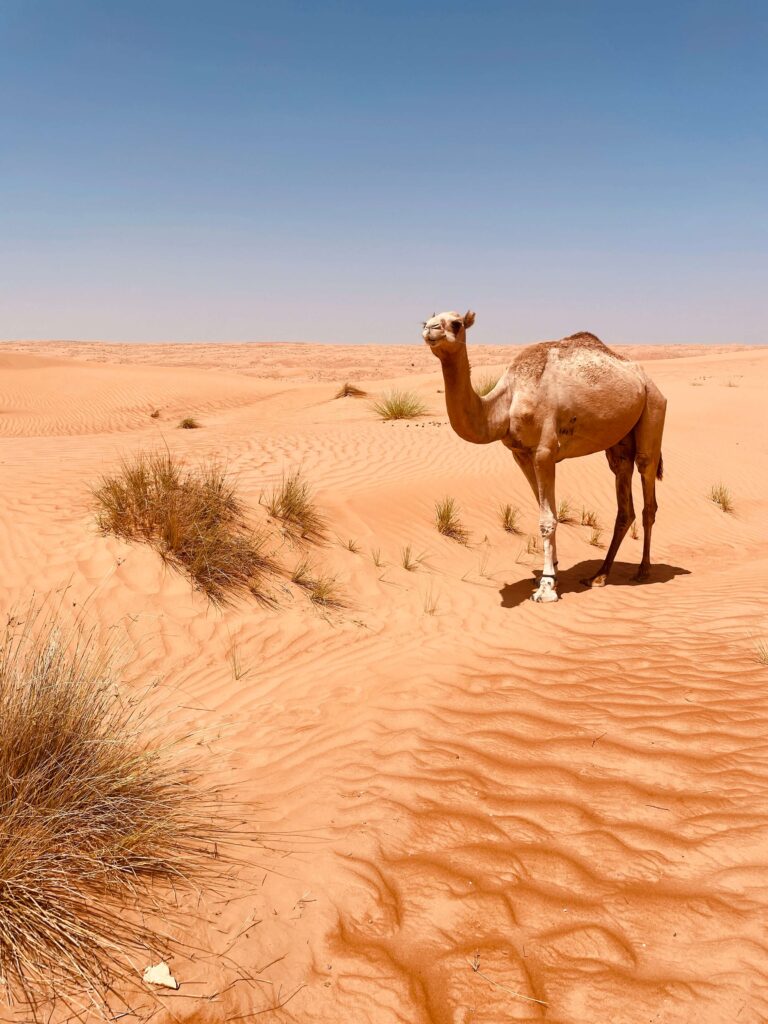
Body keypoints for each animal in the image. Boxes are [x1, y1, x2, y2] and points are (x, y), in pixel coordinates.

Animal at [423, 310, 667, 602]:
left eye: (456, 323)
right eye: (426, 321)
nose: (430, 329)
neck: (507, 402)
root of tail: (648, 381)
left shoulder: (544, 452)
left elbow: (547, 519)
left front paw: (547, 586)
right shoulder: (521, 455)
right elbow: (546, 511)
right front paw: (554, 572)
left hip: (653, 410)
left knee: (647, 489)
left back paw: (643, 570)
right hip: (619, 442)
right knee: (624, 496)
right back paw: (599, 575)